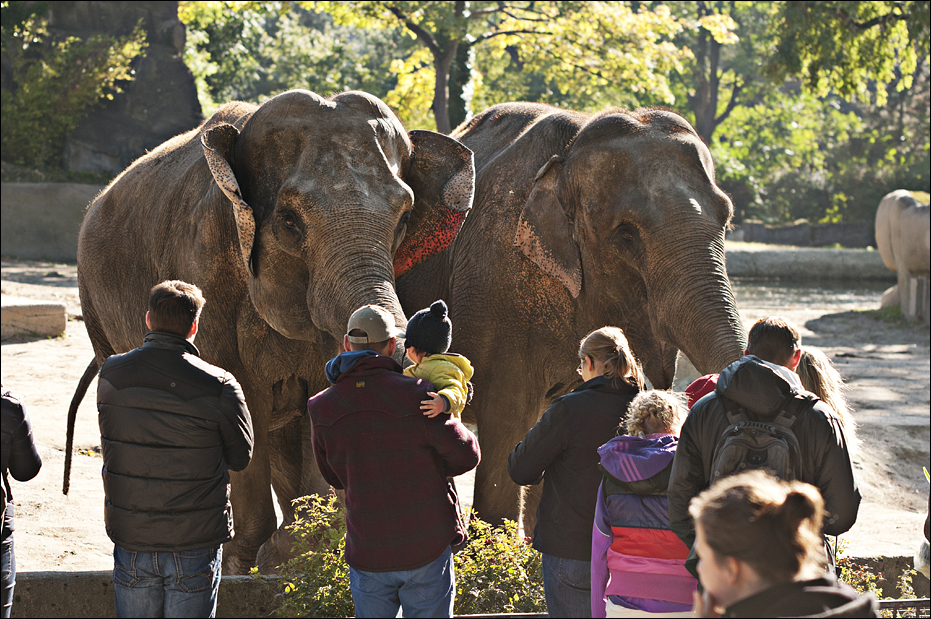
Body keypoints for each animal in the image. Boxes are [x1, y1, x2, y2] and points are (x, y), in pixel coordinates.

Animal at [63, 89, 475, 574]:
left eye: (405, 217)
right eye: (289, 220)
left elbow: (314, 403)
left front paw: (292, 548)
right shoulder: (204, 269)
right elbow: (240, 407)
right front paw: (253, 560)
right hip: (91, 302)